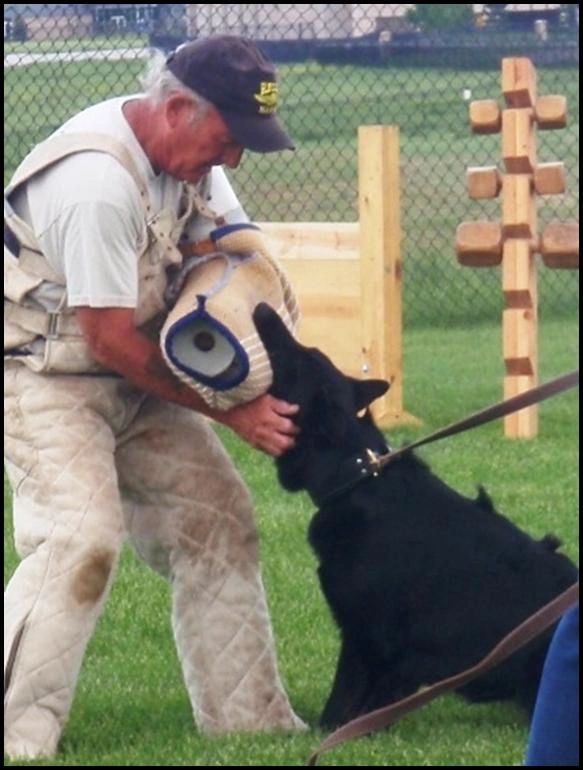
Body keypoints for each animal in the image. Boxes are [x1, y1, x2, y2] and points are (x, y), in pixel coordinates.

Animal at [253, 300, 576, 728]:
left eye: (297, 355)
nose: (263, 308)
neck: (358, 476)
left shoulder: (366, 636)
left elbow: (342, 706)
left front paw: (329, 733)